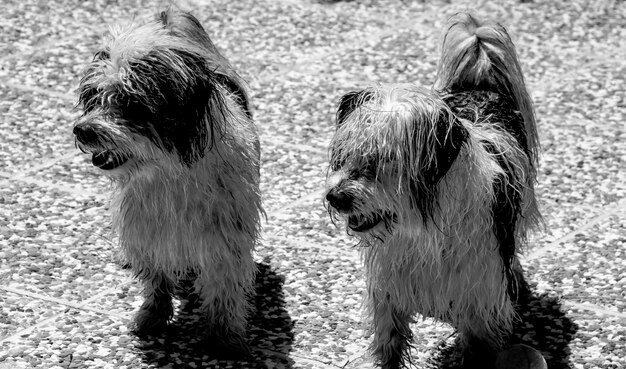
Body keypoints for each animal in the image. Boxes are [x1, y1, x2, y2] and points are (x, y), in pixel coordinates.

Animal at [72, 8, 262, 352]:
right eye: (93, 99)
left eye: (128, 104)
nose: (81, 130)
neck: (169, 172)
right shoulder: (145, 228)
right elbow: (156, 279)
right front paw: (153, 314)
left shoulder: (225, 233)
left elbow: (224, 283)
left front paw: (224, 334)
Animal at [324, 12, 540, 368]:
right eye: (344, 154)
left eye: (384, 159)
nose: (335, 197)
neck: (423, 231)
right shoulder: (388, 291)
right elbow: (388, 340)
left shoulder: (480, 301)